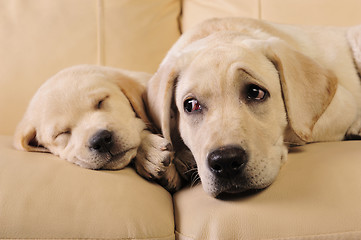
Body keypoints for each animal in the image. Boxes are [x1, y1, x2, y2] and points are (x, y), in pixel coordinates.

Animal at [146, 17, 360, 197]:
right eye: (191, 105)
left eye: (256, 92)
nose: (225, 162)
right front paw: (153, 153)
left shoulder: (342, 104)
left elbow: (295, 130)